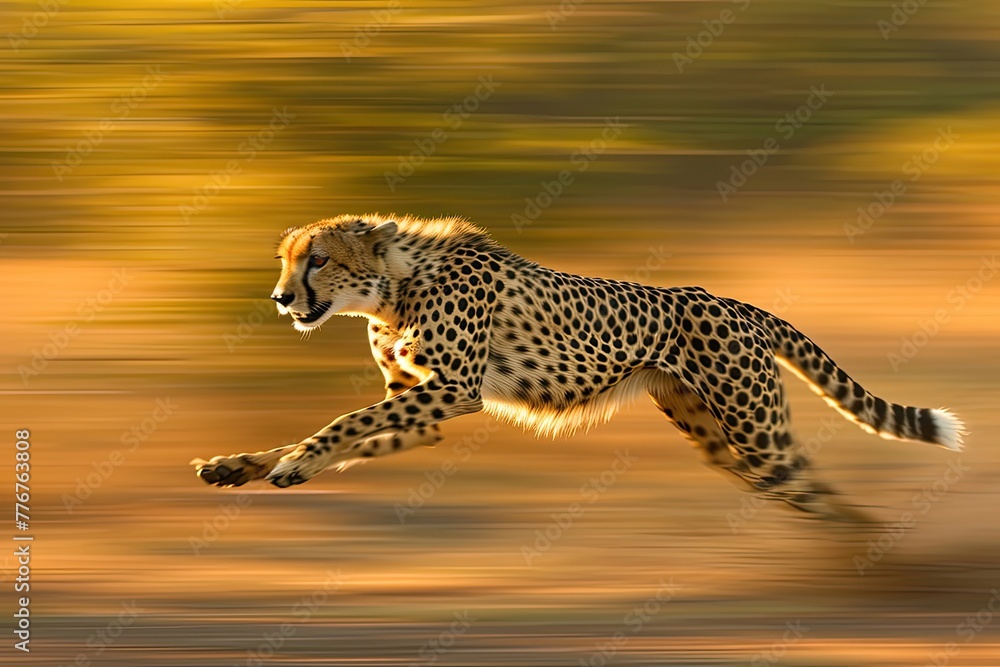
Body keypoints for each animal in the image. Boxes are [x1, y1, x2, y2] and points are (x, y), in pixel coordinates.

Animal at [192, 214, 965, 521]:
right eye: (286, 260)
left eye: (318, 259)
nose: (280, 297)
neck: (392, 287)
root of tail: (731, 300)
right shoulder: (423, 404)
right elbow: (354, 429)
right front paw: (245, 464)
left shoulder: (453, 390)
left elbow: (344, 418)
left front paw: (294, 462)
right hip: (715, 433)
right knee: (800, 486)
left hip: (756, 430)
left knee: (816, 487)